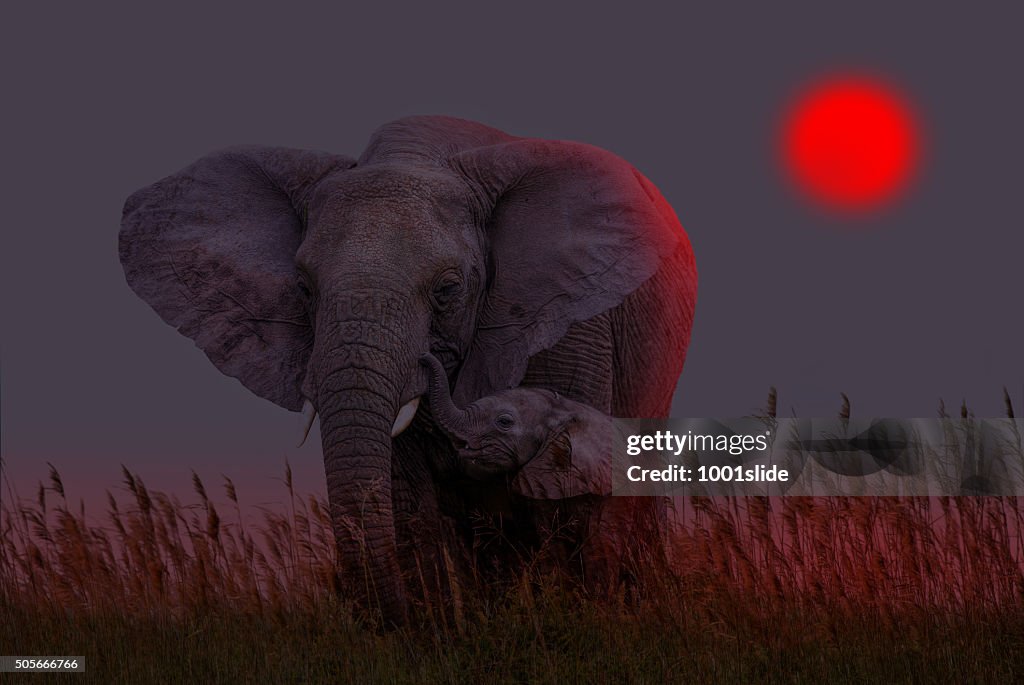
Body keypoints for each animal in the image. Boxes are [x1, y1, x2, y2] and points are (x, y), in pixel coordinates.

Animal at [417, 352, 663, 593]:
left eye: (504, 421)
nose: (423, 358)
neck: (563, 411)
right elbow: (550, 543)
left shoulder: (615, 490)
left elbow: (600, 547)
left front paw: (598, 603)